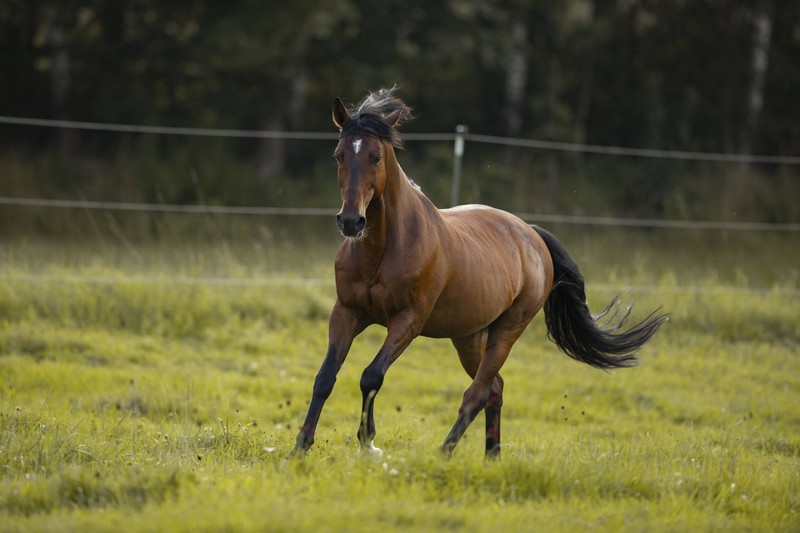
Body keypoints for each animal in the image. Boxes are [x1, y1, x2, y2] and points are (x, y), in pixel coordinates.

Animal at [288, 86, 668, 458]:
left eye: (376, 157)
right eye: (339, 155)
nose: (351, 221)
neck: (382, 250)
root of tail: (531, 235)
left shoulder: (408, 321)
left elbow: (371, 376)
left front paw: (369, 443)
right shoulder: (346, 313)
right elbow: (325, 377)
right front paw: (299, 448)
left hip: (506, 330)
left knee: (478, 392)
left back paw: (445, 453)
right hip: (468, 336)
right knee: (495, 387)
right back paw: (491, 457)